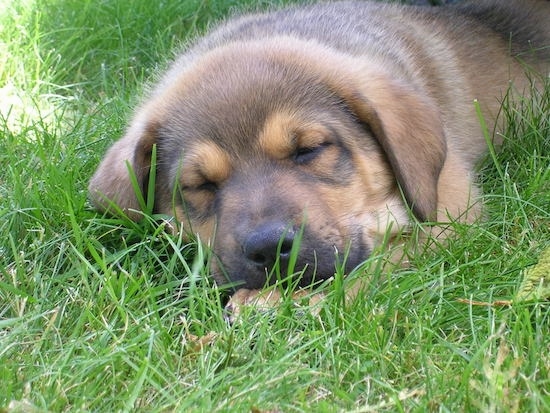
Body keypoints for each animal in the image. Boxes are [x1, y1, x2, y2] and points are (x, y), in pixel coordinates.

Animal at [88, 1, 548, 300]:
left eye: (310, 149)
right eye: (198, 185)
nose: (268, 249)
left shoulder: (452, 208)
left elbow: (376, 263)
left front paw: (280, 302)